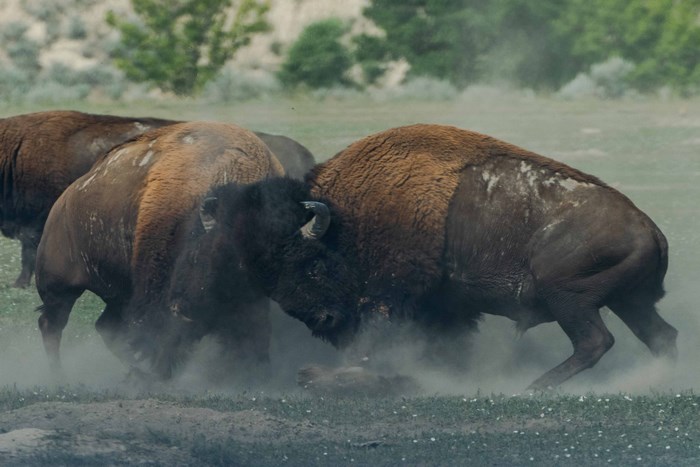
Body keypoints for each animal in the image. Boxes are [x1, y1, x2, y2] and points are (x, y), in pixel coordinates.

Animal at [35, 121, 284, 380]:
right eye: (197, 258)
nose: (183, 310)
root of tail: (64, 200)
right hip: (59, 288)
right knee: (51, 325)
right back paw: (60, 376)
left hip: (118, 295)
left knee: (105, 328)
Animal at [194, 123, 678, 390]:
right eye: (266, 278)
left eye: (309, 262)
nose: (321, 319)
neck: (347, 218)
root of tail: (650, 229)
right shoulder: (446, 307)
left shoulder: (388, 297)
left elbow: (379, 338)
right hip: (628, 302)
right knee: (660, 336)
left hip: (569, 299)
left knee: (595, 341)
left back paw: (534, 386)